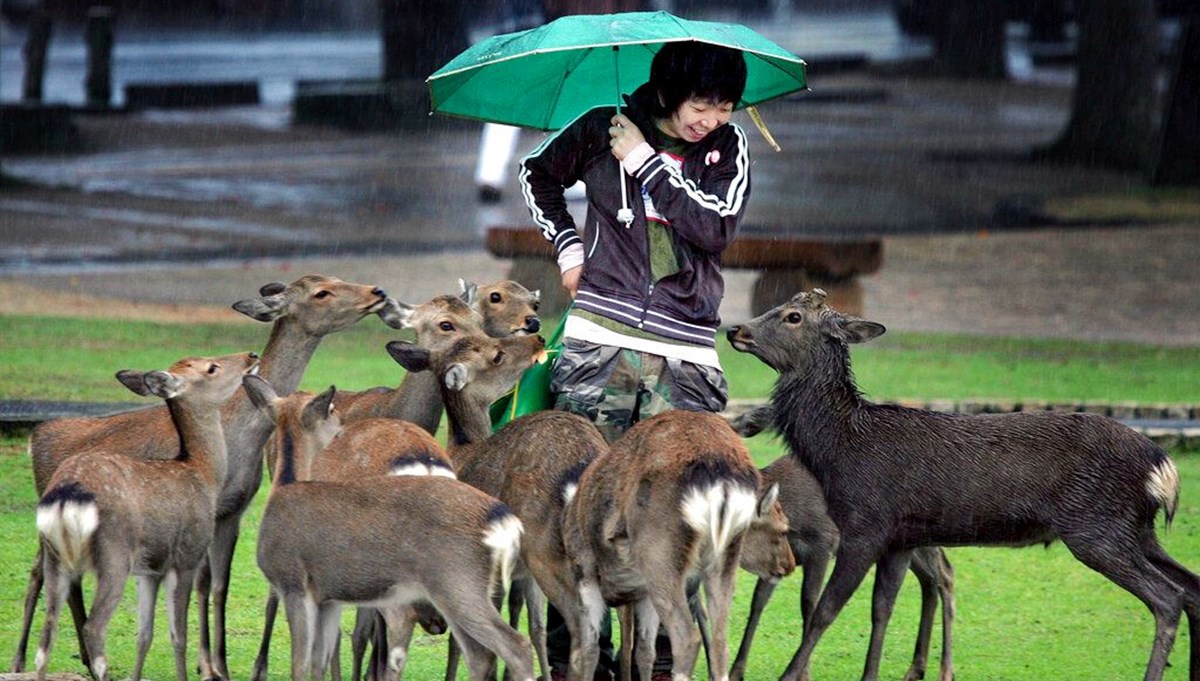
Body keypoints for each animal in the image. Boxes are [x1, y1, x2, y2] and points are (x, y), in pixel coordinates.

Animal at [35, 350, 258, 681]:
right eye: (212, 367)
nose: (251, 355)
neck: (203, 473)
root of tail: (65, 497)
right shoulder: (186, 556)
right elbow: (178, 635)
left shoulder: (149, 569)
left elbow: (145, 634)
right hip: (113, 556)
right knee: (94, 628)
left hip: (55, 557)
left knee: (46, 637)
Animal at [720, 288, 1200, 681]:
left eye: (793, 316)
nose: (735, 330)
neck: (840, 448)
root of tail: (1163, 466)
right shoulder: (900, 538)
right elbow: (881, 610)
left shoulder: (864, 526)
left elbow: (824, 609)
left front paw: (789, 675)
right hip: (1137, 529)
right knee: (1191, 589)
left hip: (1096, 528)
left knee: (1167, 598)